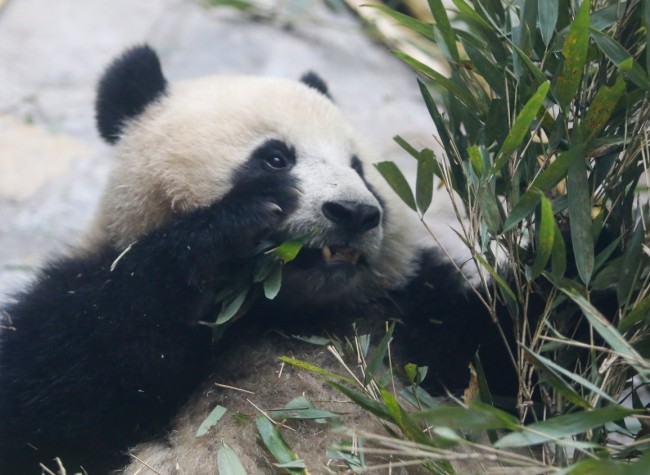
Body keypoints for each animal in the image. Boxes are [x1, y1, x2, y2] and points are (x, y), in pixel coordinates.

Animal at [0, 45, 496, 474]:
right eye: (275, 158)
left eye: (359, 169)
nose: (354, 212)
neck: (285, 312)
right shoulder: (89, 282)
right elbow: (46, 401)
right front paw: (229, 226)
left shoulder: (410, 312)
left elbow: (484, 354)